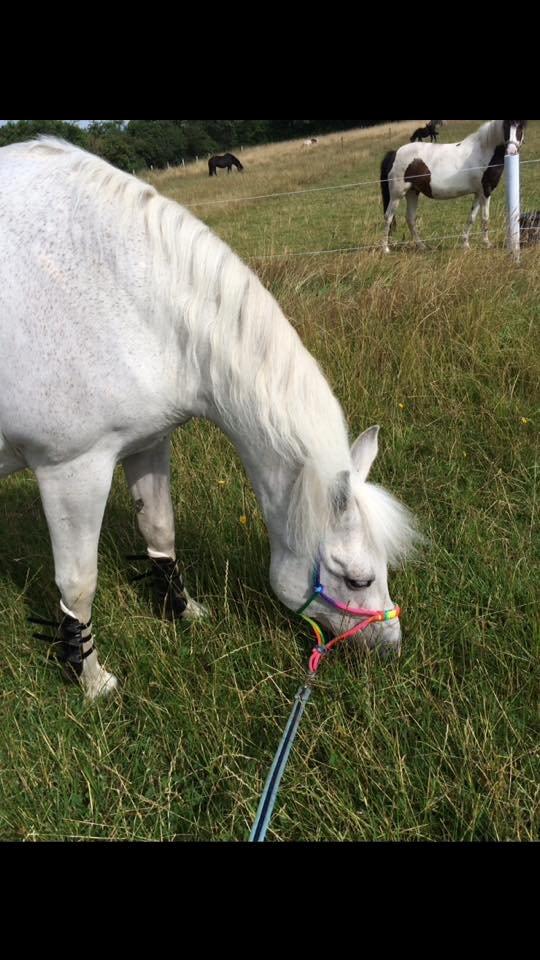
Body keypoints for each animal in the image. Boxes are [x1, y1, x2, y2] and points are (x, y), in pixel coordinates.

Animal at [0, 139, 418, 700]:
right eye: (356, 579)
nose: (390, 647)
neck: (131, 293)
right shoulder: (70, 471)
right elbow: (78, 584)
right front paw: (91, 681)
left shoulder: (147, 443)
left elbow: (160, 531)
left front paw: (184, 611)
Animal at [380, 120, 528, 253]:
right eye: (506, 126)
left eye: (521, 126)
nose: (512, 151)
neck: (484, 150)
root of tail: (395, 153)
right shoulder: (486, 191)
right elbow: (485, 217)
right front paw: (487, 243)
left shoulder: (478, 193)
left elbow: (472, 218)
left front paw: (466, 244)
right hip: (397, 195)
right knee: (388, 217)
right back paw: (385, 249)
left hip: (412, 192)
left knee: (410, 219)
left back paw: (422, 246)